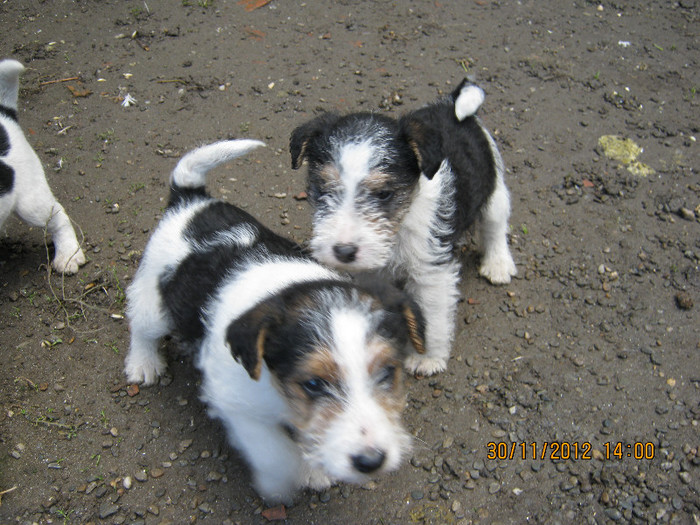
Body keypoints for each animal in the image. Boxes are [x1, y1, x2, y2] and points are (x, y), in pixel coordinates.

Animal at [124, 140, 426, 504]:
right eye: (313, 383)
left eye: (388, 372)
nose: (371, 461)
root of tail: (191, 200)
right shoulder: (234, 402)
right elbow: (274, 451)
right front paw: (284, 480)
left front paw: (314, 467)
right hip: (155, 302)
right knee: (140, 322)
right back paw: (143, 363)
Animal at [288, 80, 516, 376]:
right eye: (323, 189)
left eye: (384, 193)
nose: (344, 251)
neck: (399, 226)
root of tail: (452, 106)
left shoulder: (431, 271)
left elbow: (431, 316)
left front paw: (426, 357)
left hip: (494, 189)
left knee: (495, 227)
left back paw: (498, 264)